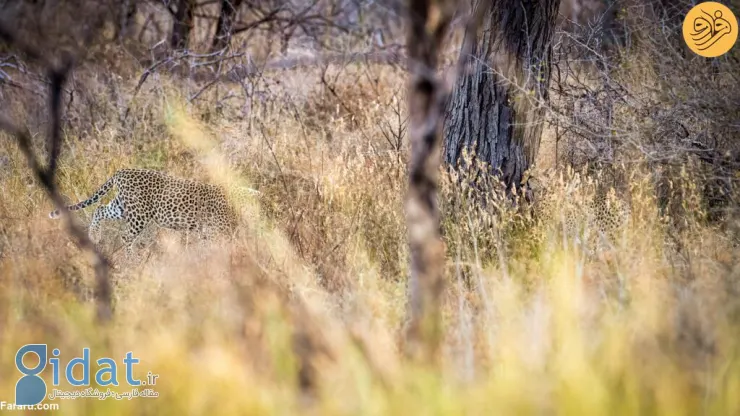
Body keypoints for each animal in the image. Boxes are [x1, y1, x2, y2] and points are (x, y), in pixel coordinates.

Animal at [49, 167, 246, 252]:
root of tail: (122, 171)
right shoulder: (214, 231)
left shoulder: (207, 233)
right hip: (139, 214)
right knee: (126, 236)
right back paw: (132, 261)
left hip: (121, 206)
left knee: (100, 209)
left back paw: (94, 236)